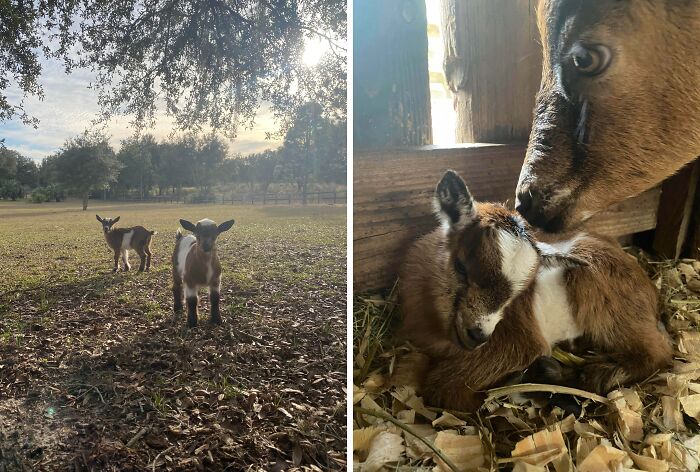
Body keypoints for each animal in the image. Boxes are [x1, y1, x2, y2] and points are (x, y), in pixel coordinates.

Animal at [398, 170, 672, 412]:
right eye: (461, 267)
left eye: (517, 296)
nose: (478, 334)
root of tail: (651, 292)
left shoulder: (519, 344)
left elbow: (440, 387)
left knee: (657, 351)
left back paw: (594, 375)